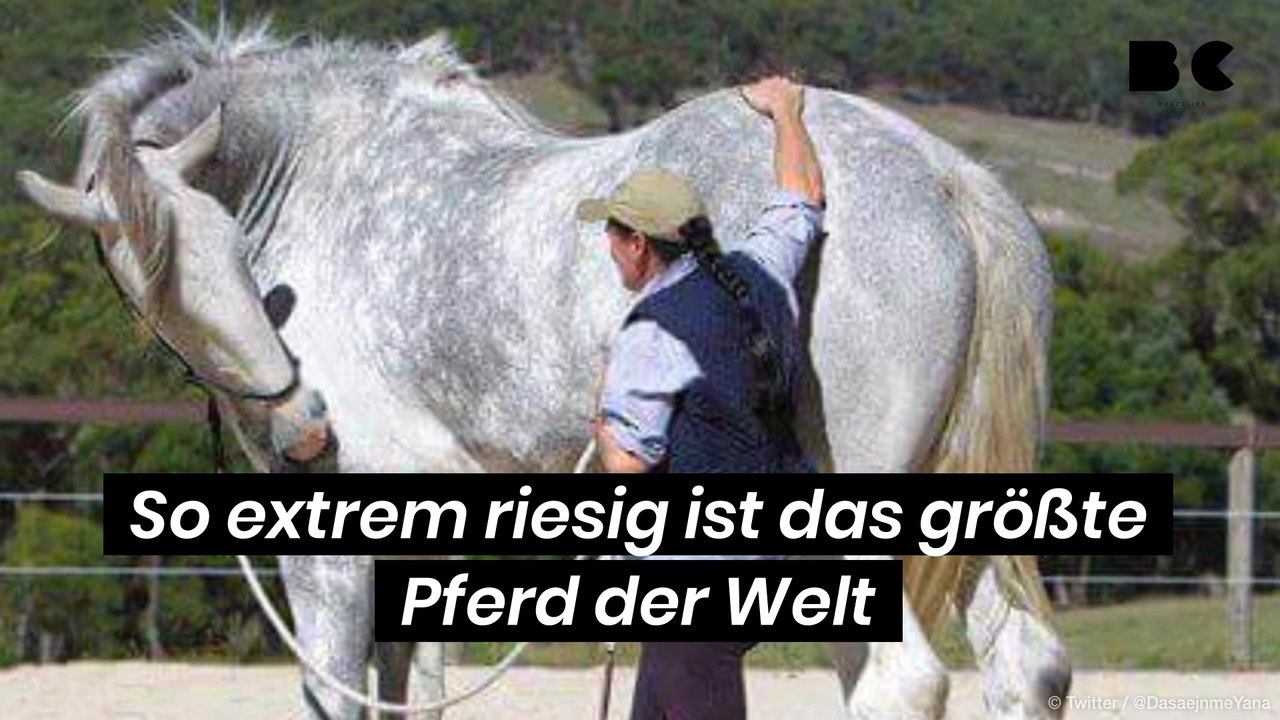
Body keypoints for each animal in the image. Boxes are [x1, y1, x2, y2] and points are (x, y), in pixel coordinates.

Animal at [18, 17, 1070, 720]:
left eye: (229, 255)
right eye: (154, 277)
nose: (304, 425)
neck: (316, 178)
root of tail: (945, 177)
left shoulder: (329, 538)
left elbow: (342, 692)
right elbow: (414, 686)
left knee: (899, 682)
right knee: (1027, 667)